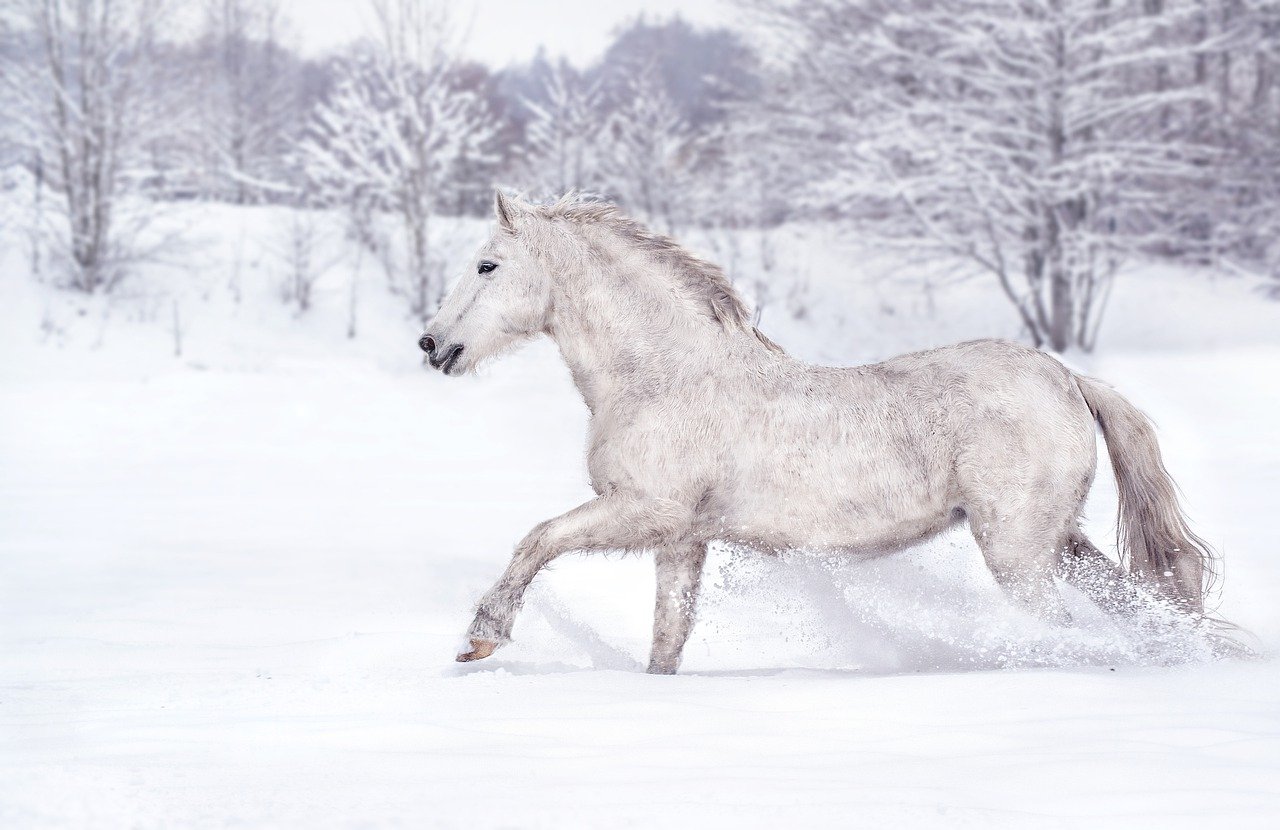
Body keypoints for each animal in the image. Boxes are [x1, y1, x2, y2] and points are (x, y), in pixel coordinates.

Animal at [422, 193, 1218, 676]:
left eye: (487, 265)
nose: (433, 345)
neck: (665, 374)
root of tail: (1066, 377)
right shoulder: (681, 540)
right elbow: (668, 637)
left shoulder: (643, 510)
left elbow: (537, 539)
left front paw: (481, 637)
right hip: (1060, 542)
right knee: (1135, 604)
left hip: (1018, 550)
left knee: (1063, 628)